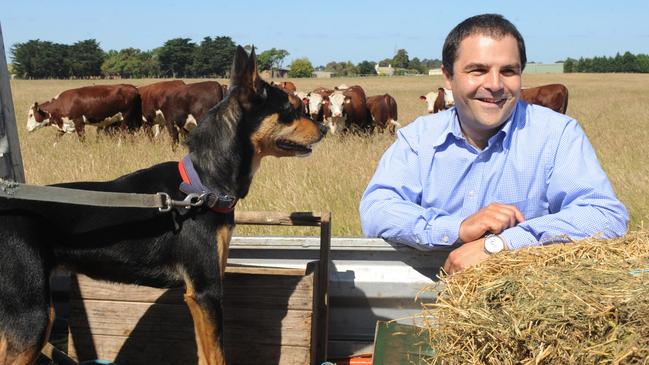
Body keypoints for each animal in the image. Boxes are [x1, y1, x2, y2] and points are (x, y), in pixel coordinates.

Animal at [0, 46, 324, 364]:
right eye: (290, 109)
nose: (323, 128)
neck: (204, 182)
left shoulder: (198, 296)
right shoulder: (206, 291)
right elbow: (217, 355)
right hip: (31, 318)